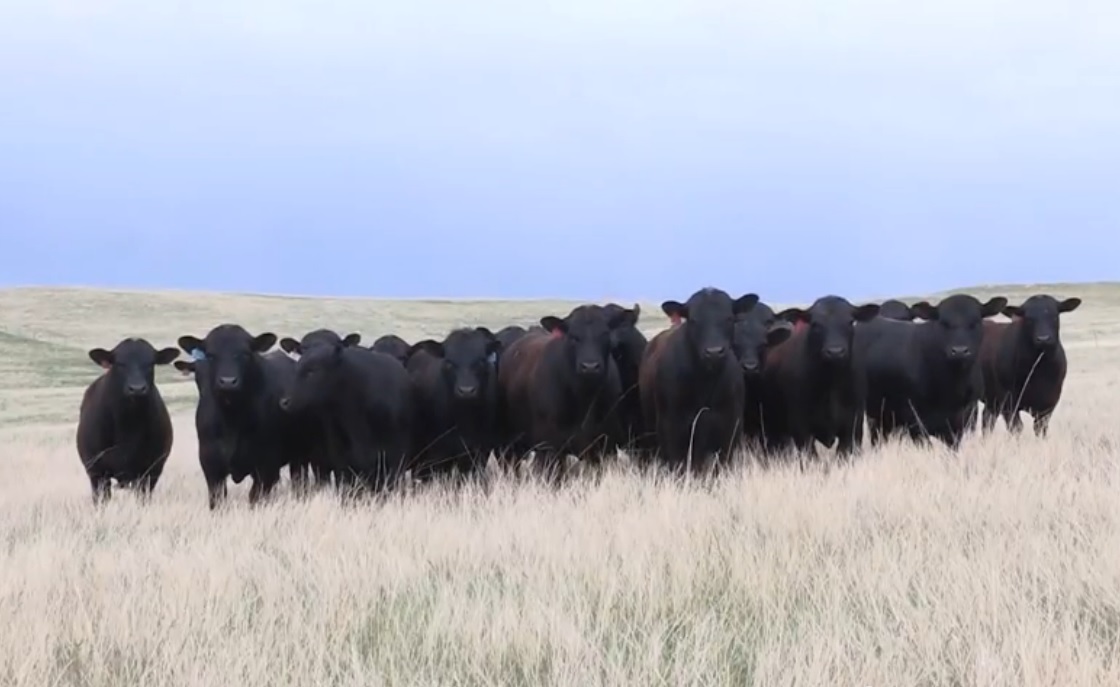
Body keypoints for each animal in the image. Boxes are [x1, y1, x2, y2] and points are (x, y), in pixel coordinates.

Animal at [177, 325, 300, 509]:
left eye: (245, 354)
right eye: (211, 355)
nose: (228, 381)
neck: (232, 419)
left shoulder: (267, 466)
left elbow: (256, 498)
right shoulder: (211, 465)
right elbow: (217, 500)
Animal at [496, 304, 634, 479]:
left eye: (605, 334)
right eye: (573, 336)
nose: (590, 366)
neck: (583, 398)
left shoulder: (604, 447)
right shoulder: (549, 449)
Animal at [638, 288, 758, 474]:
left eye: (729, 317)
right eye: (693, 320)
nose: (714, 352)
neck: (705, 385)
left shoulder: (730, 428)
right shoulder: (671, 428)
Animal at [761, 296, 881, 461]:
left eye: (850, 321)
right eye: (815, 324)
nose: (835, 352)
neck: (830, 384)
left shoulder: (853, 427)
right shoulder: (801, 429)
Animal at [979, 295, 1081, 436]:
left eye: (1055, 316)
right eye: (1028, 319)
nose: (1043, 339)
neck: (1039, 369)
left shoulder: (1049, 403)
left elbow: (1040, 429)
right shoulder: (1008, 402)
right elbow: (1016, 428)